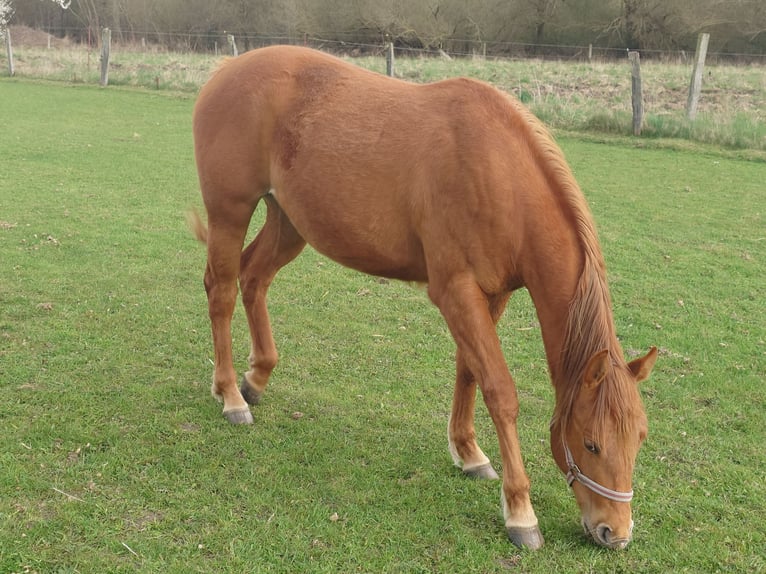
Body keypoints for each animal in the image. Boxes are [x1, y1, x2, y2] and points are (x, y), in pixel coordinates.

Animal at [190, 45, 658, 550]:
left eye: (640, 438)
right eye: (591, 443)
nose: (616, 532)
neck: (500, 173)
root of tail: (228, 70)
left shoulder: (491, 295)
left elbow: (469, 371)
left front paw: (469, 453)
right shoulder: (455, 291)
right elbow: (500, 390)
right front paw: (520, 511)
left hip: (288, 221)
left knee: (254, 279)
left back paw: (256, 378)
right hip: (230, 212)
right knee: (222, 292)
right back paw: (230, 395)